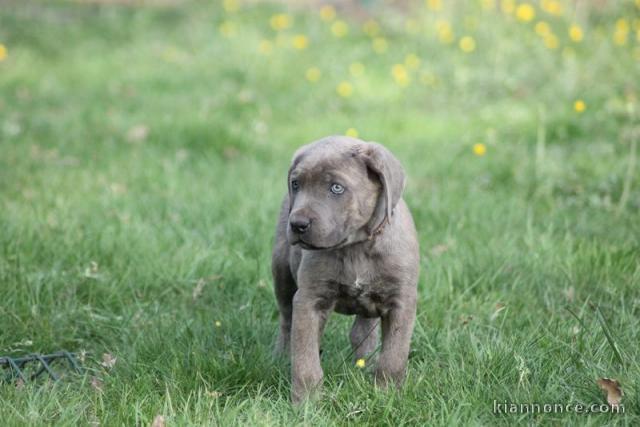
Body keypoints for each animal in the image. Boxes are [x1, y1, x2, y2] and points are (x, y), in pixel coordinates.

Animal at [270, 136, 420, 404]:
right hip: (282, 272)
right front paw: (306, 402)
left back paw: (365, 364)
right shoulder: (309, 300)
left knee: (362, 331)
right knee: (287, 320)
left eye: (336, 188)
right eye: (296, 184)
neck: (355, 247)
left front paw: (386, 394)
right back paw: (281, 356)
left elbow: (393, 356)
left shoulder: (401, 301)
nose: (297, 224)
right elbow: (305, 356)